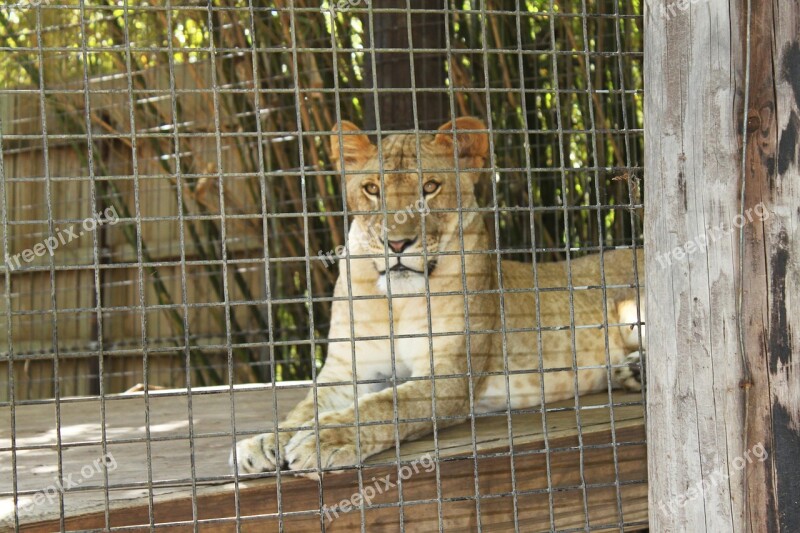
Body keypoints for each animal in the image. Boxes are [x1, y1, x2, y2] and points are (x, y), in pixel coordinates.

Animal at [231, 117, 644, 478]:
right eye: (372, 189)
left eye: (429, 188)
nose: (397, 244)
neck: (396, 300)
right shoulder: (346, 370)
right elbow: (305, 406)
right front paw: (263, 442)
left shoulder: (451, 374)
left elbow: (386, 404)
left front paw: (323, 439)